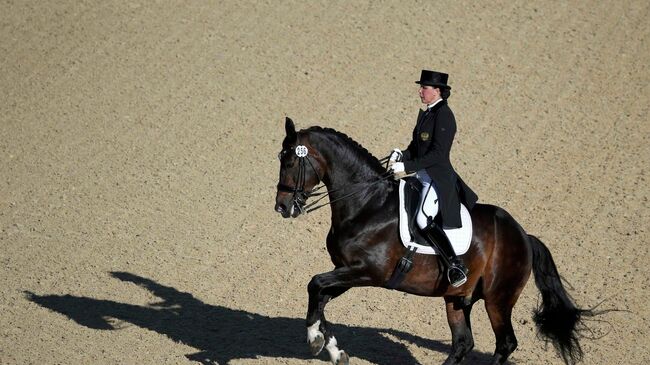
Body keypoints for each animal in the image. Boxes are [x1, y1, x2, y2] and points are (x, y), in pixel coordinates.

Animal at [272, 118, 588, 364]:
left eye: (290, 161)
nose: (282, 207)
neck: (367, 204)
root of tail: (523, 235)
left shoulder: (367, 272)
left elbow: (315, 284)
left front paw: (314, 340)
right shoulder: (346, 272)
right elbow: (320, 298)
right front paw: (334, 351)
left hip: (498, 299)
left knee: (505, 343)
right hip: (458, 298)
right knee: (463, 343)